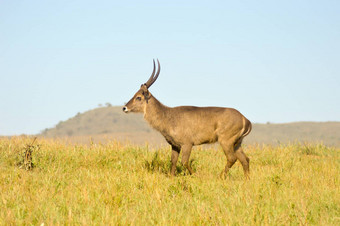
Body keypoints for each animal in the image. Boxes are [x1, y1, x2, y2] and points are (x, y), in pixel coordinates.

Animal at [123, 59, 251, 178]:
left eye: (138, 97)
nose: (124, 108)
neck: (168, 116)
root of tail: (245, 119)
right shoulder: (175, 145)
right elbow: (173, 161)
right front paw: (172, 178)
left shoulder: (187, 144)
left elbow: (184, 162)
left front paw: (195, 176)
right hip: (237, 143)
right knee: (245, 159)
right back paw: (247, 180)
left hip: (226, 141)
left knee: (232, 158)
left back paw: (220, 177)